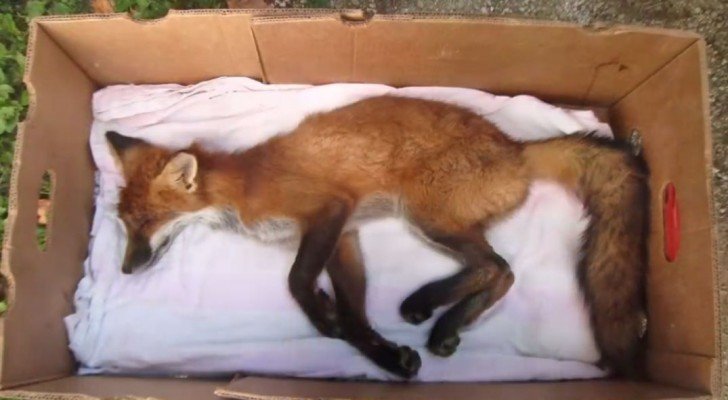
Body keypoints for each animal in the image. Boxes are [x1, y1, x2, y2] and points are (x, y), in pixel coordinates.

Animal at [107, 95, 649, 379]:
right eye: (124, 224)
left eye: (148, 221)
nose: (126, 269)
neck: (243, 190)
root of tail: (516, 147)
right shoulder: (345, 236)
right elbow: (355, 315)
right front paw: (387, 357)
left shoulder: (328, 211)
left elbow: (297, 281)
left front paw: (323, 319)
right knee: (495, 270)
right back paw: (436, 314)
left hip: (425, 216)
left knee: (500, 268)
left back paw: (437, 313)